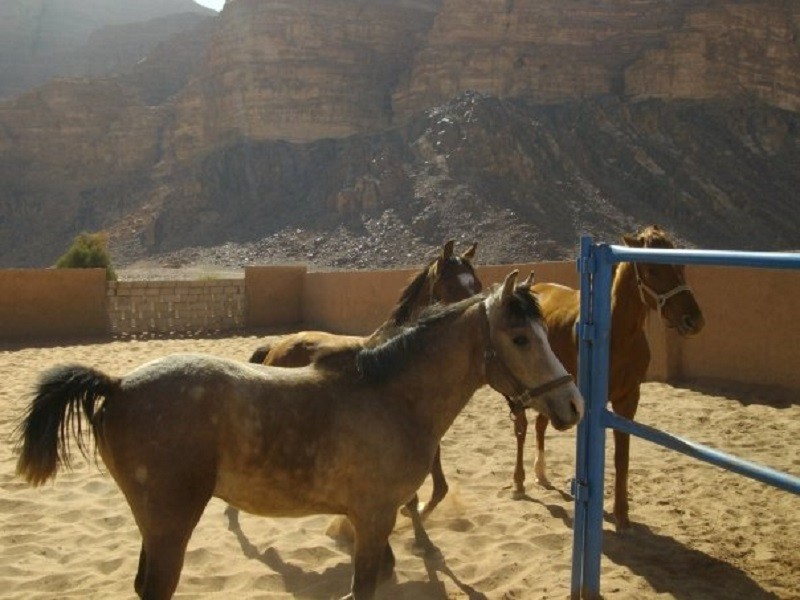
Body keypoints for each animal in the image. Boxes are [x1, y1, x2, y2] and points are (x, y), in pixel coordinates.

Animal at [17, 272, 580, 600]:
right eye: (520, 338)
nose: (572, 404)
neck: (393, 397)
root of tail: (115, 385)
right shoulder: (374, 517)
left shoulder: (372, 521)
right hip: (170, 525)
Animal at [510, 224, 704, 528]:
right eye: (652, 269)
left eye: (681, 265)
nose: (693, 320)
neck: (615, 336)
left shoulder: (628, 398)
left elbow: (621, 457)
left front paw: (622, 513)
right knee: (521, 428)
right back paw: (519, 483)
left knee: (540, 426)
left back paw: (541, 473)